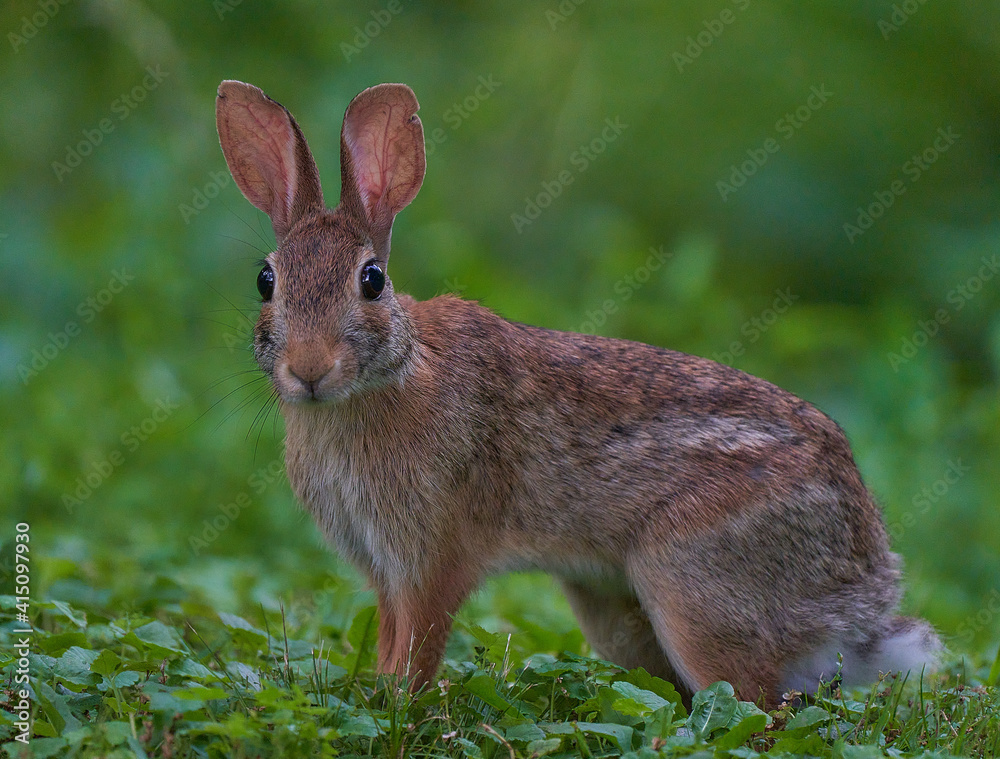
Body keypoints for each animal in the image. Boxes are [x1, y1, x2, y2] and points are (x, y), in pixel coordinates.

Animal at [215, 79, 940, 707]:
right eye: (265, 280)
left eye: (371, 281)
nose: (309, 369)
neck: (390, 373)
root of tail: (863, 587)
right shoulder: (384, 571)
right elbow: (394, 639)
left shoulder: (431, 558)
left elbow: (415, 650)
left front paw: (398, 708)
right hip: (616, 614)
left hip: (691, 589)